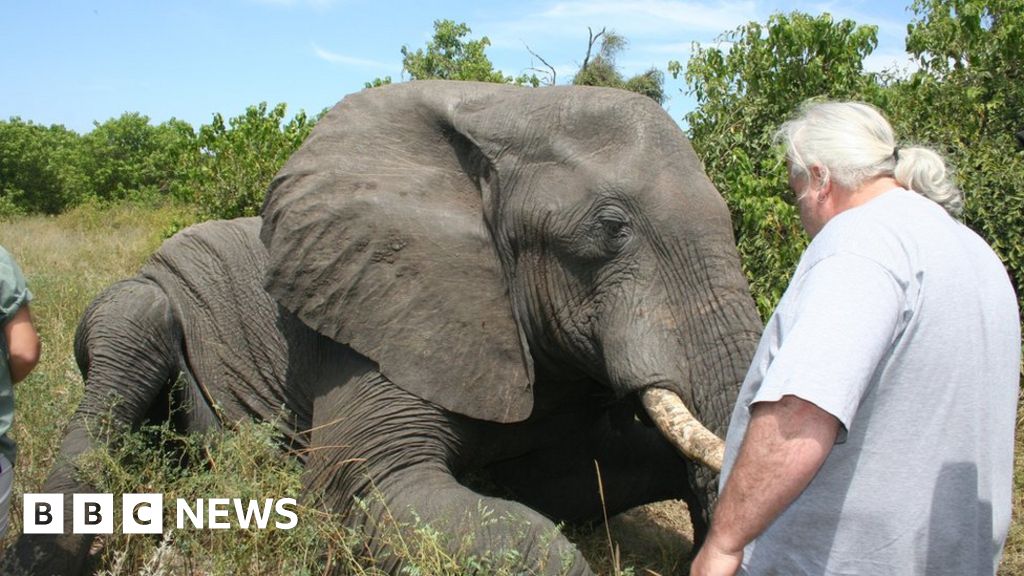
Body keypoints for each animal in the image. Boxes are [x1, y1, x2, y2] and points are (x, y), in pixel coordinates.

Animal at [6, 81, 761, 573]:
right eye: (611, 229)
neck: (500, 110)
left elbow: (575, 476)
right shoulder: (378, 320)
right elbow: (365, 486)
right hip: (150, 295)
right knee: (133, 334)